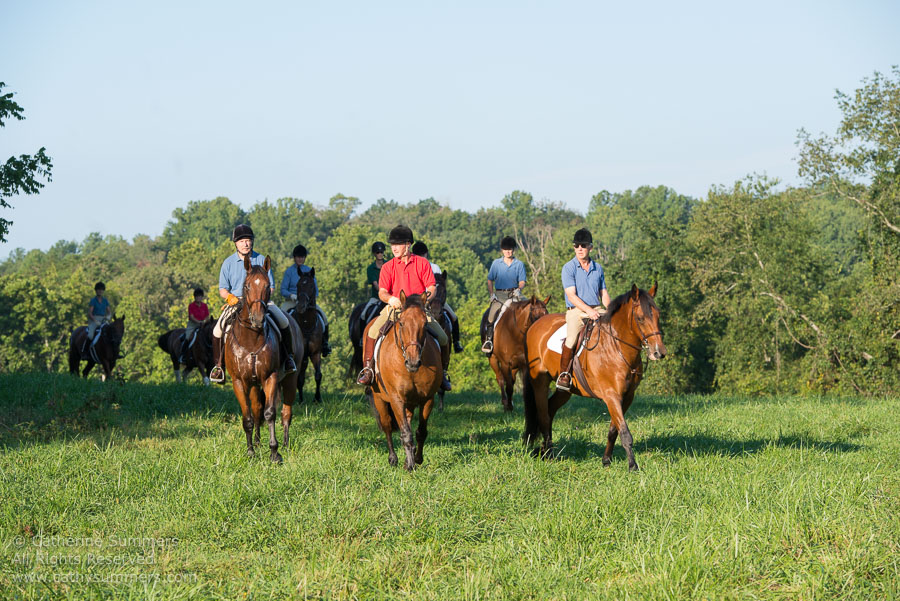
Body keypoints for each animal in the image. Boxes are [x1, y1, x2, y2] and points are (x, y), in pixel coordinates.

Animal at [227, 255, 304, 462]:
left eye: (267, 286)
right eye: (246, 286)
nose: (258, 319)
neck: (252, 339)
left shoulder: (271, 377)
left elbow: (270, 413)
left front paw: (274, 452)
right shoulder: (239, 382)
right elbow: (248, 416)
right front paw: (251, 451)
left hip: (290, 379)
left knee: (286, 412)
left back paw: (285, 444)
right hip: (254, 385)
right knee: (256, 409)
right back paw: (257, 442)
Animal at [286, 268, 326, 404]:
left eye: (311, 286)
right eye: (298, 285)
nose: (301, 307)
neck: (307, 324)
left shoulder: (316, 353)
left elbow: (318, 375)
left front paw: (317, 398)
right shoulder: (302, 355)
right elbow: (300, 377)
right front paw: (301, 400)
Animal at [362, 290, 440, 468]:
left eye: (425, 324)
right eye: (402, 324)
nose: (413, 362)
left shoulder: (428, 399)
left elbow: (420, 431)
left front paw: (416, 459)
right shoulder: (396, 399)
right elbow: (405, 433)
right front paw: (410, 465)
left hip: (410, 402)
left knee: (409, 421)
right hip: (380, 399)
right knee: (387, 426)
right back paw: (393, 459)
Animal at [520, 284, 668, 472]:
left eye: (658, 315)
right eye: (641, 318)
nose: (659, 352)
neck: (616, 347)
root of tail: (535, 326)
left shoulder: (627, 397)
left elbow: (614, 429)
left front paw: (606, 460)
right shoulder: (611, 396)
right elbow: (624, 432)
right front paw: (633, 466)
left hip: (565, 390)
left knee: (550, 409)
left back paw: (545, 450)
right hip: (540, 382)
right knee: (544, 415)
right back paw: (549, 455)